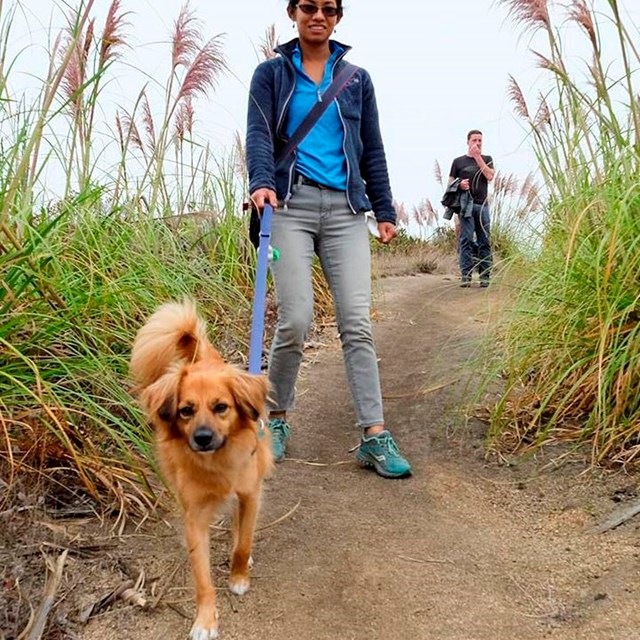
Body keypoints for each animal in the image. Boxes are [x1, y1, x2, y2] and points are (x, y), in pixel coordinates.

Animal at [130, 302, 272, 640]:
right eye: (186, 411)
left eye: (221, 407)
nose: (203, 438)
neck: (218, 461)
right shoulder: (194, 516)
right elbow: (202, 578)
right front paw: (205, 620)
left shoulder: (250, 493)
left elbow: (244, 540)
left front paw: (238, 575)